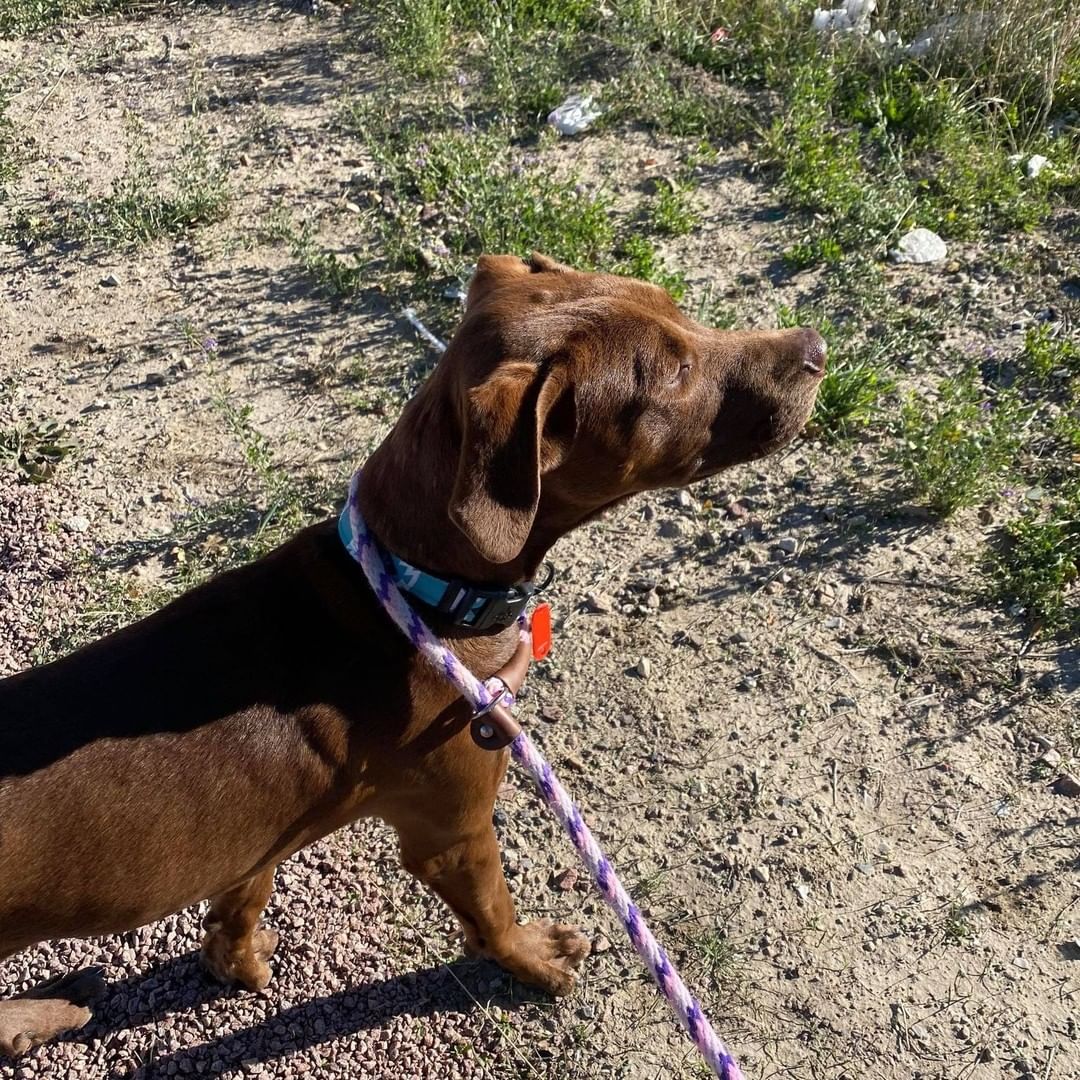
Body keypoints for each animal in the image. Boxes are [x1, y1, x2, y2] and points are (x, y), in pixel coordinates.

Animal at [2, 250, 825, 1054]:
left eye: (675, 305)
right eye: (674, 374)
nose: (815, 348)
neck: (417, 591)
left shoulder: (262, 836)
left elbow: (243, 895)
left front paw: (234, 960)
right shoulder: (452, 831)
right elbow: (493, 917)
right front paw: (533, 962)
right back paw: (44, 1017)